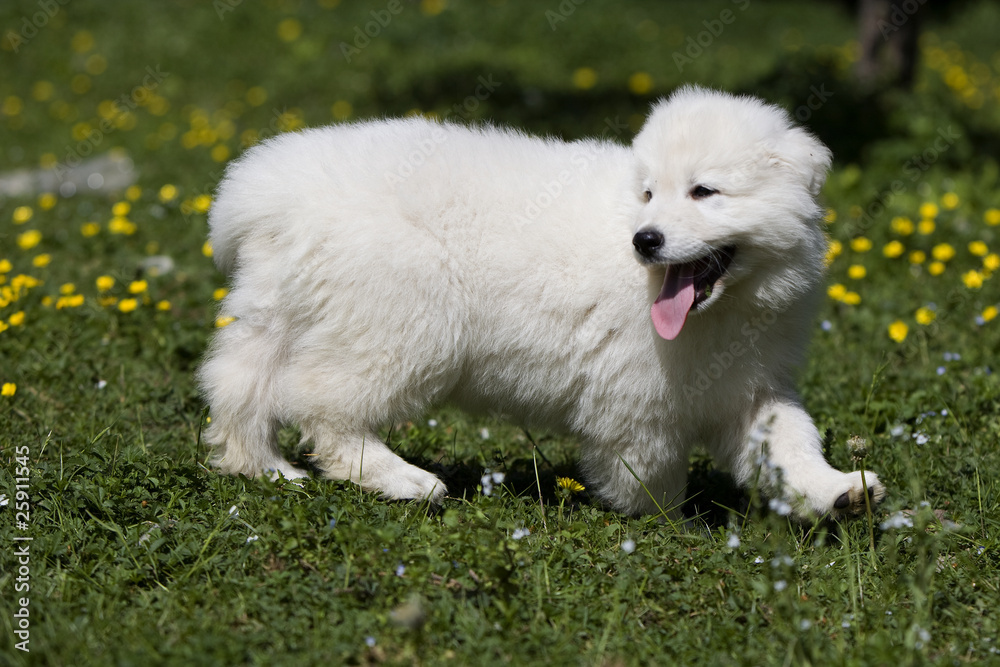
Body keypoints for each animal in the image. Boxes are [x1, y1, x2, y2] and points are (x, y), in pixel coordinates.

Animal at [199, 86, 888, 520]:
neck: (724, 305)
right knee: (323, 405)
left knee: (240, 386)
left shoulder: (750, 379)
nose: (645, 240)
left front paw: (837, 492)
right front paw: (666, 519)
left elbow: (789, 441)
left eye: (704, 192)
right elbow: (648, 459)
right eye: (648, 193)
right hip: (403, 321)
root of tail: (269, 192)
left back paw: (263, 468)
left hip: (277, 311)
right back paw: (407, 481)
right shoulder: (636, 386)